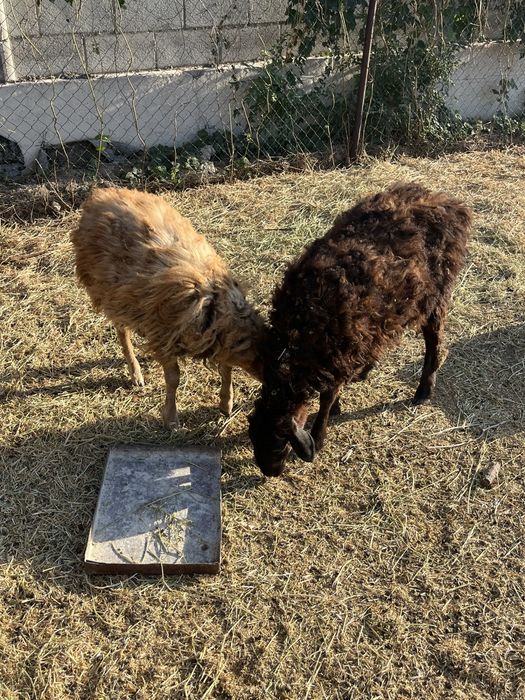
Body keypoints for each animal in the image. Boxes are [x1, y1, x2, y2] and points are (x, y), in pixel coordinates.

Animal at [71, 187, 265, 429]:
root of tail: (101, 194)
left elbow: (225, 367)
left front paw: (226, 404)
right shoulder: (165, 335)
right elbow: (174, 378)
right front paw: (171, 418)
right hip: (111, 296)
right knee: (122, 331)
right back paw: (135, 373)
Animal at [248, 182, 472, 476]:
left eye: (280, 443)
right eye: (254, 438)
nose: (269, 472)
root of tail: (450, 203)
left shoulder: (338, 354)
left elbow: (327, 398)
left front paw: (321, 433)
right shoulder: (345, 347)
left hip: (435, 295)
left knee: (434, 343)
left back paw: (424, 391)